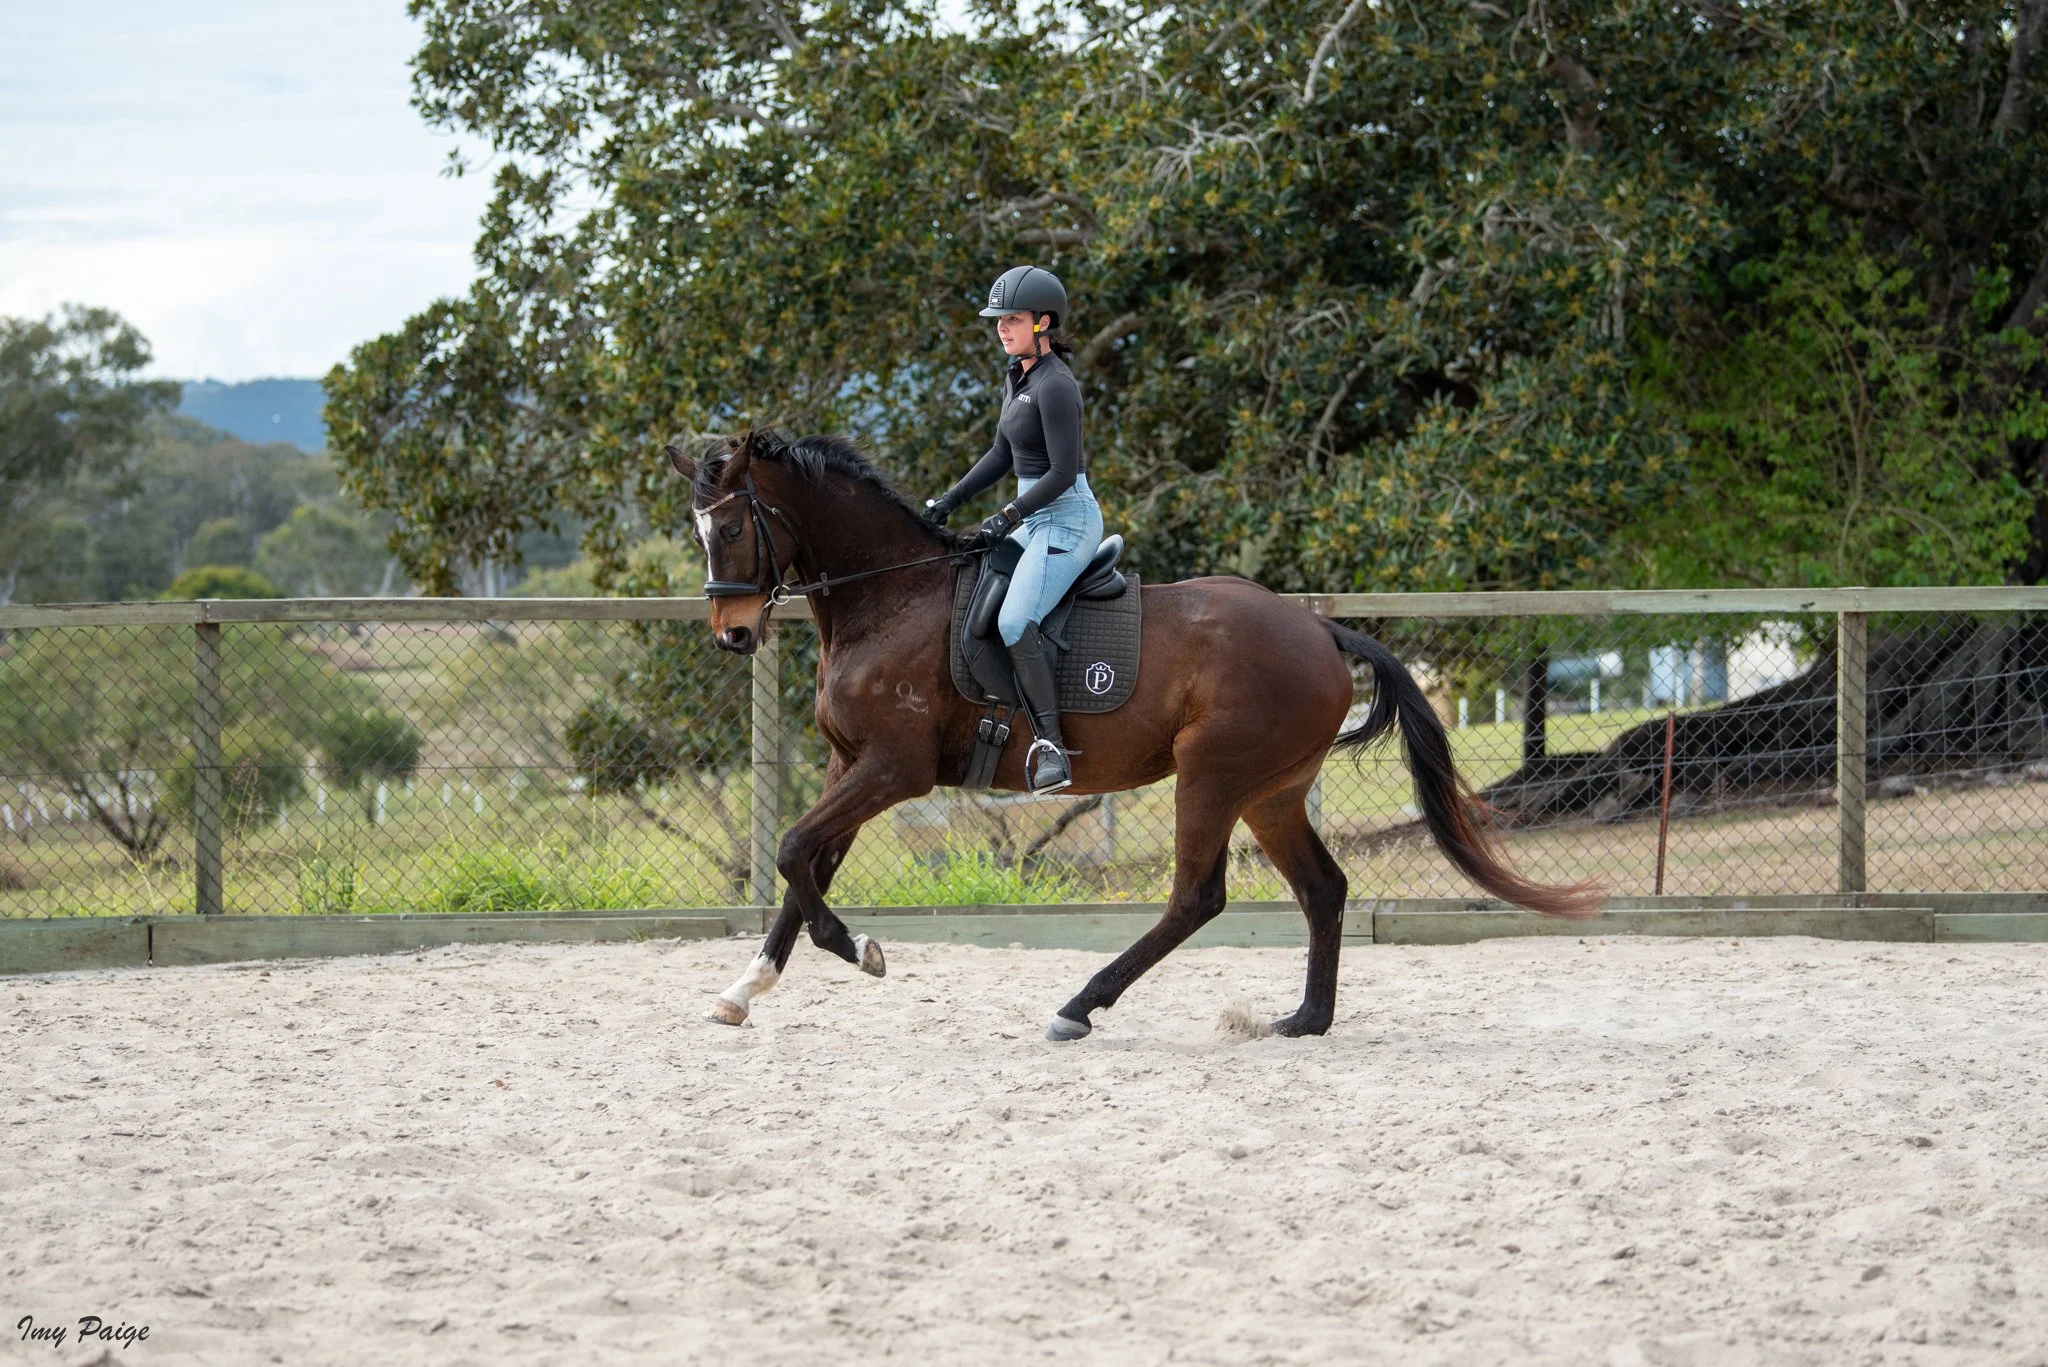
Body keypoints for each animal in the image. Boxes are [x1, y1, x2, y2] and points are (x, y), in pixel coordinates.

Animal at [664, 429, 1600, 1040]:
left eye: (734, 525)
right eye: (699, 531)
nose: (732, 636)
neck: (891, 597)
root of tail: (1319, 630)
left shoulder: (894, 769)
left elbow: (794, 850)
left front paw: (859, 949)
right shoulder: (849, 765)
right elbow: (803, 868)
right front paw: (744, 988)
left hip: (1212, 778)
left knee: (1197, 898)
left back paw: (1080, 1005)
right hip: (1271, 792)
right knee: (1322, 888)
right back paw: (1302, 1019)